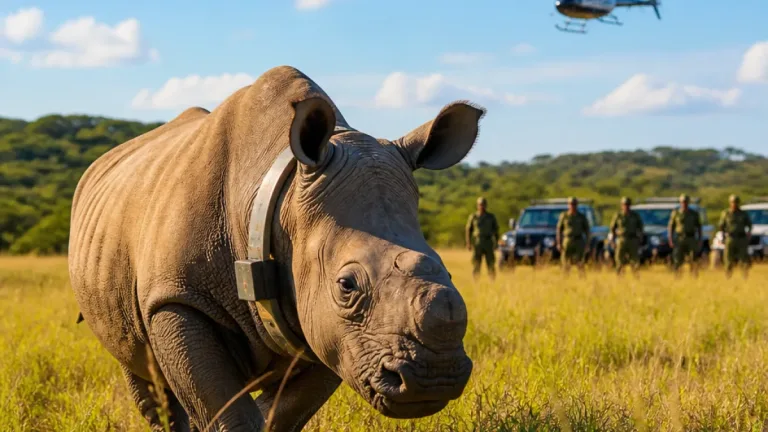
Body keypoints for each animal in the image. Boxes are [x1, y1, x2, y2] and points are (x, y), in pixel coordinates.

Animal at [68, 65, 484, 431]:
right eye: (346, 285)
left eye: (447, 270)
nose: (434, 377)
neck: (275, 194)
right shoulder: (176, 298)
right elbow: (230, 414)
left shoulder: (327, 328)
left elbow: (279, 416)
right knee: (144, 374)